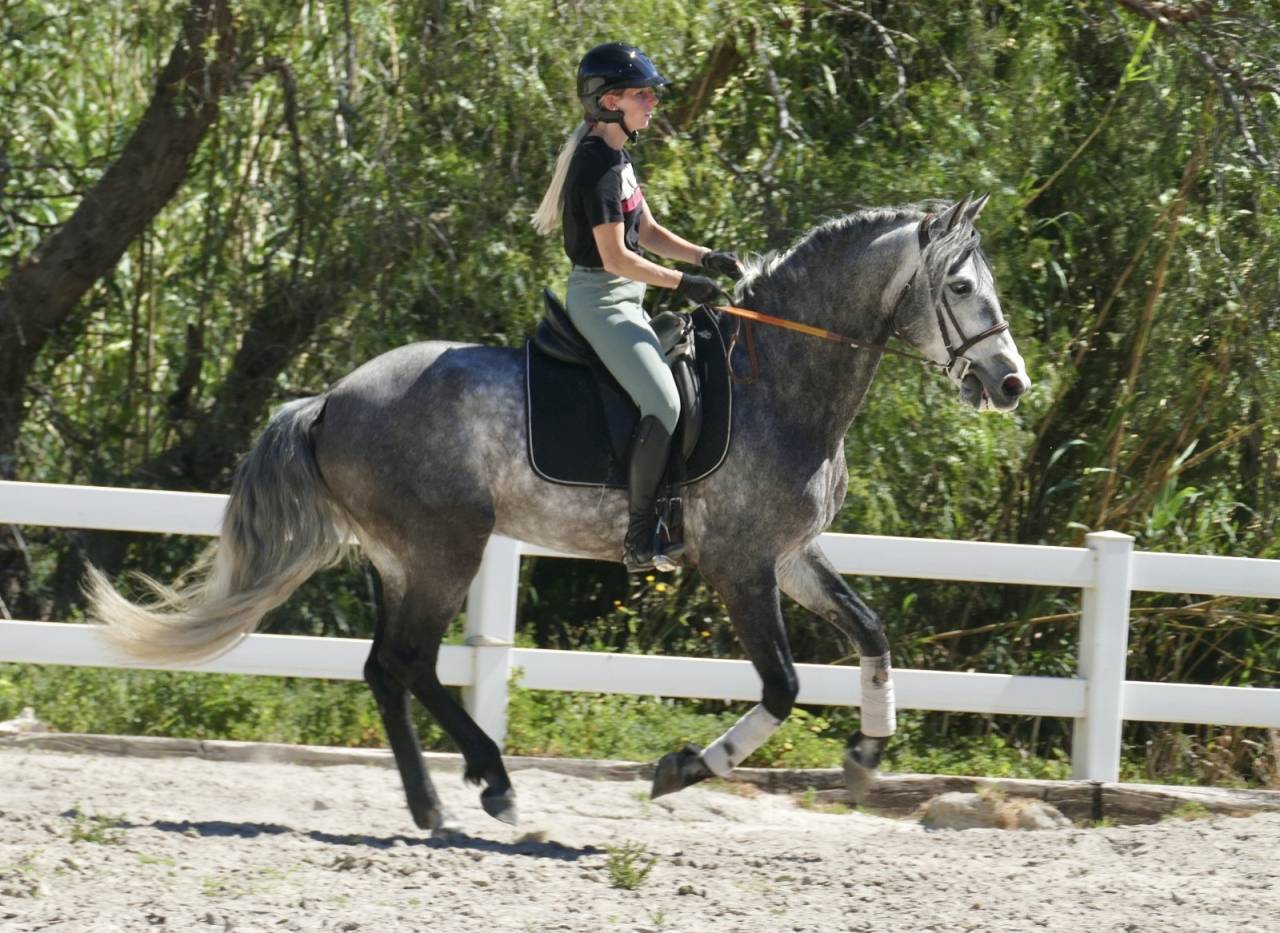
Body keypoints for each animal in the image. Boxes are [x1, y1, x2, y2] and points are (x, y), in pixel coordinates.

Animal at [87, 194, 1030, 833]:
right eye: (959, 286)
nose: (1011, 383)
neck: (781, 382)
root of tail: (329, 400)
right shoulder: (740, 565)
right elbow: (784, 686)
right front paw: (683, 766)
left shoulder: (793, 555)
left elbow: (871, 631)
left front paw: (867, 754)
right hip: (445, 550)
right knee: (408, 662)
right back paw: (491, 785)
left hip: (403, 559)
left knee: (390, 669)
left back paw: (438, 802)